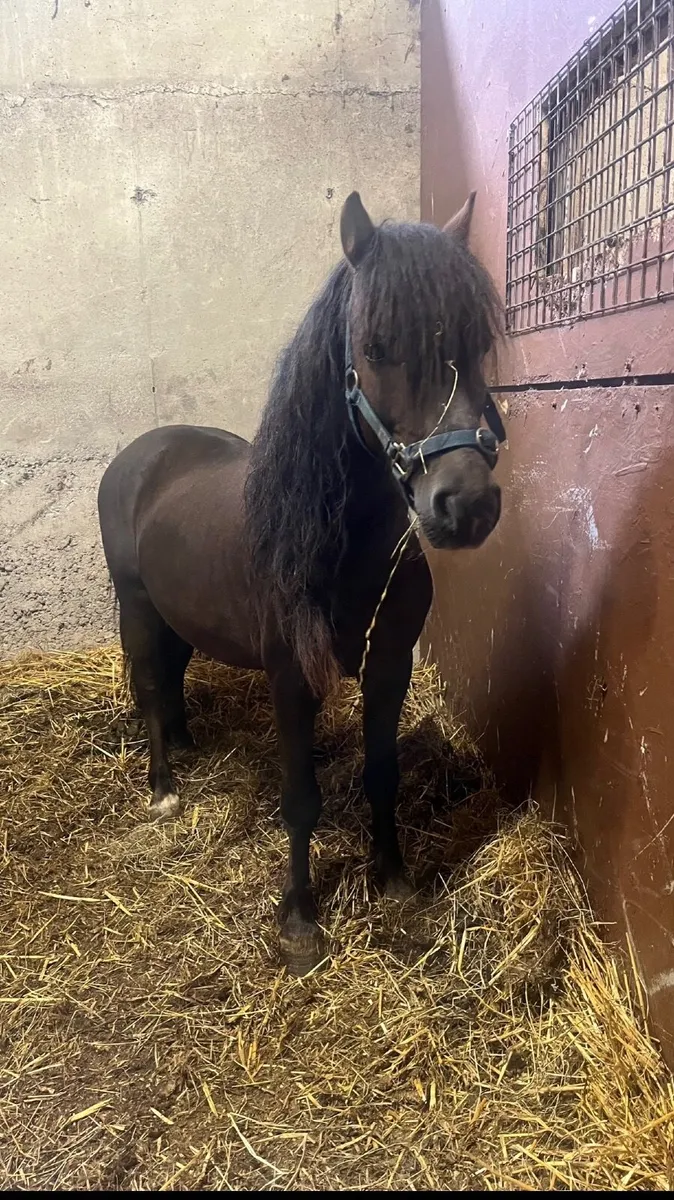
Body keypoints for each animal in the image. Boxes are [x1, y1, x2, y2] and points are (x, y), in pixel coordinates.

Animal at [97, 191, 505, 975]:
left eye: (476, 345)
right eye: (376, 346)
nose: (466, 506)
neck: (342, 547)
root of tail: (143, 451)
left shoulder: (388, 669)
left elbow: (383, 775)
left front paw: (395, 880)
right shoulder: (291, 677)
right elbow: (301, 801)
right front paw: (300, 923)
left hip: (179, 613)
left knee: (173, 675)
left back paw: (187, 745)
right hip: (137, 607)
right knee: (152, 682)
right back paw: (163, 790)